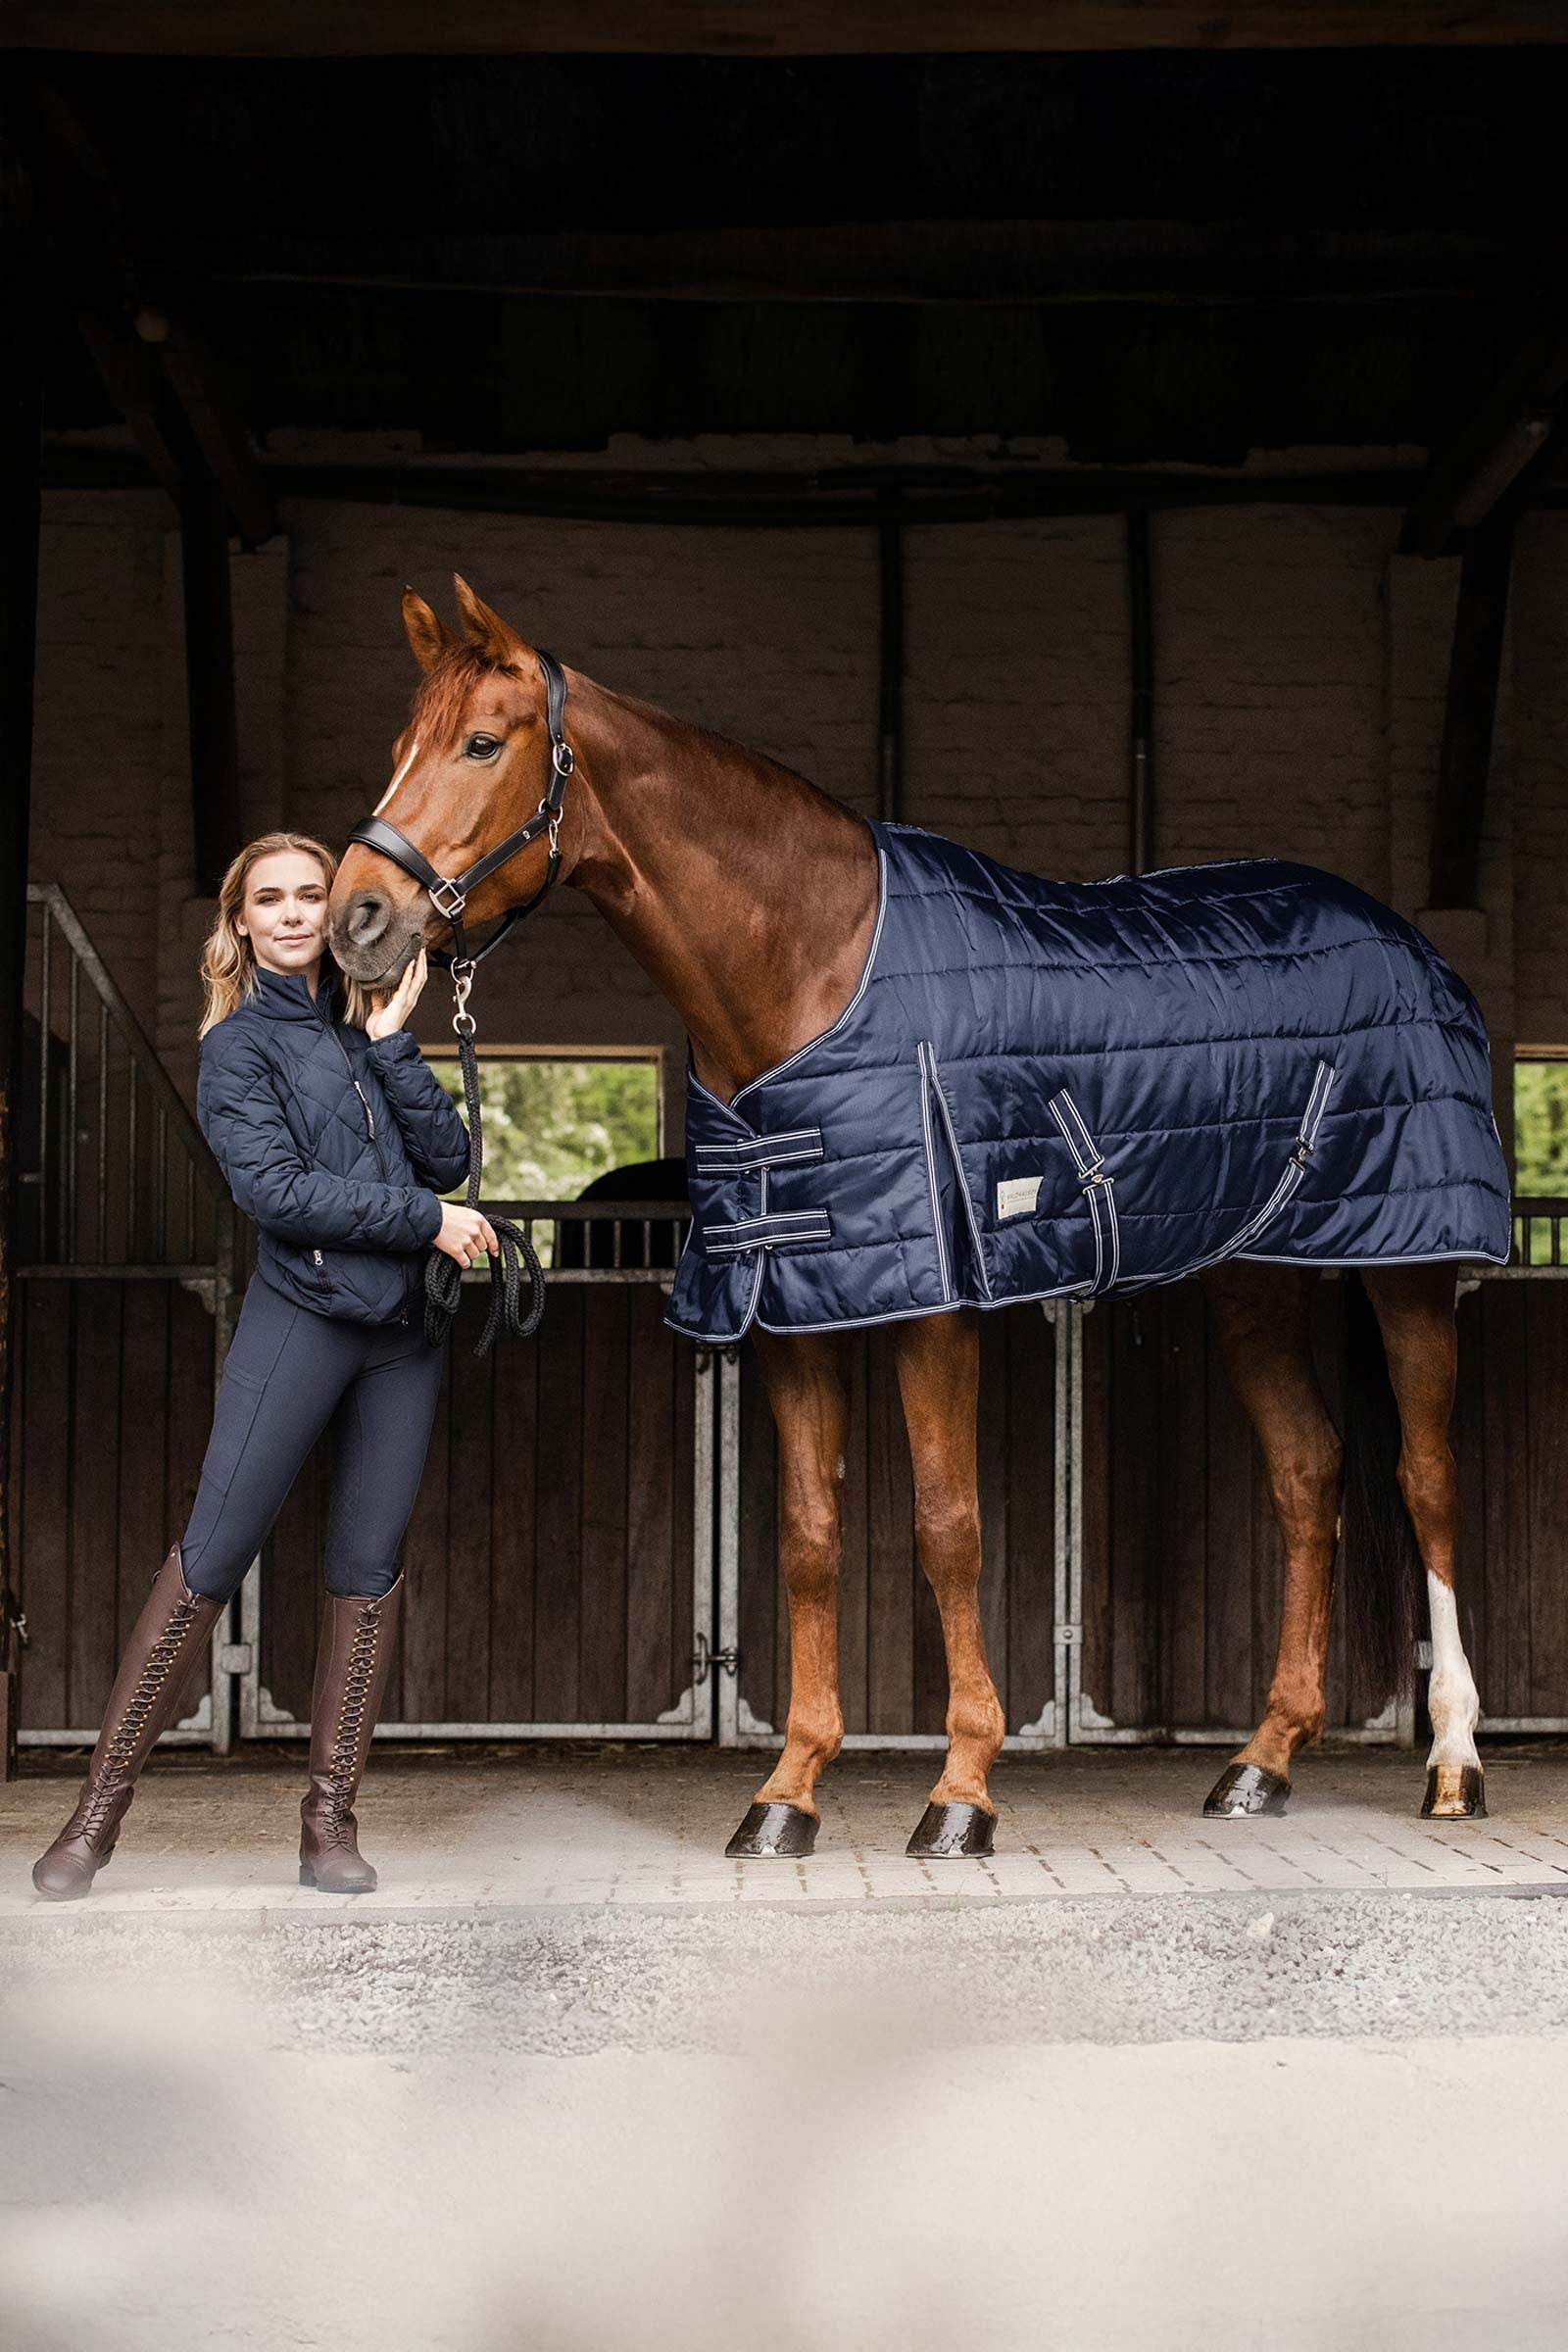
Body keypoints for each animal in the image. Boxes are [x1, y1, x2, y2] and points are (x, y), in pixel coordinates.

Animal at [327, 574, 1494, 1857]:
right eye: (398, 747)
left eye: (484, 744)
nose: (356, 921)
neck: (810, 966)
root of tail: (1408, 942)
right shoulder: (791, 1308)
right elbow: (807, 1538)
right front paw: (786, 1791)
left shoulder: (934, 1303)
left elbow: (946, 1528)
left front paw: (961, 1791)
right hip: (1254, 1274)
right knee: (1308, 1473)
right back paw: (1262, 1760)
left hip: (1410, 1264)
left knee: (1428, 1478)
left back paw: (1452, 1760)